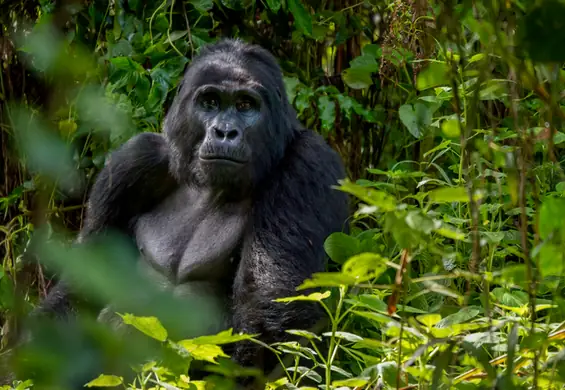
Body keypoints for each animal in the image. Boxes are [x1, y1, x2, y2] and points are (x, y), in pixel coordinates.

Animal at [7, 38, 348, 386]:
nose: (225, 132)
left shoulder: (307, 164)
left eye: (245, 105)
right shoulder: (134, 160)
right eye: (210, 102)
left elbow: (274, 320)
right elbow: (84, 284)